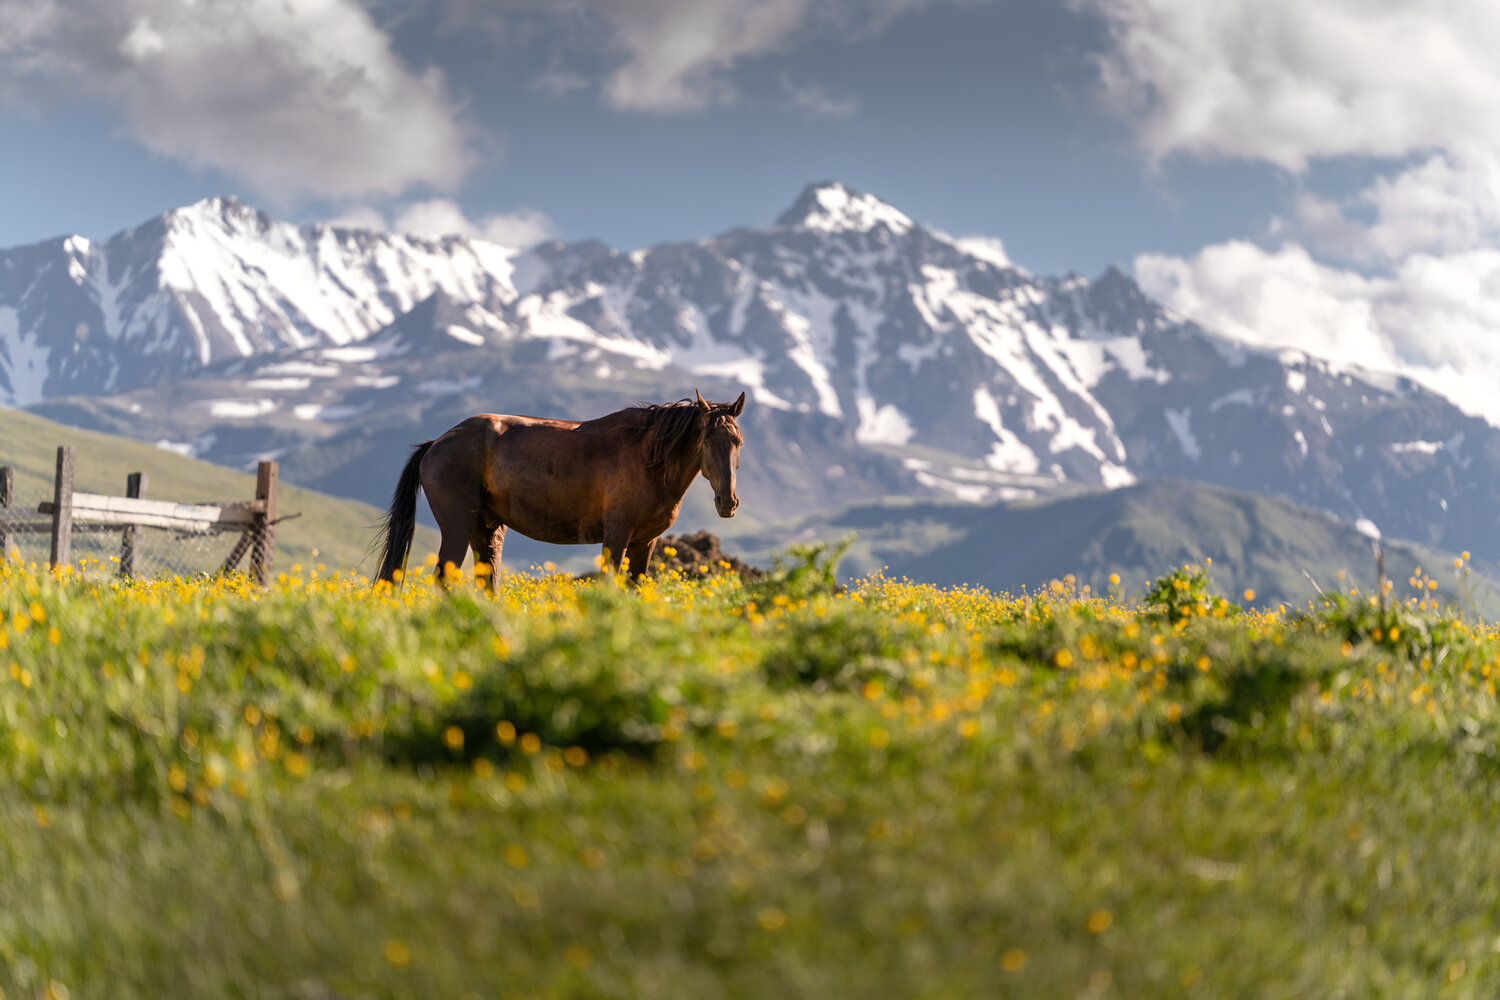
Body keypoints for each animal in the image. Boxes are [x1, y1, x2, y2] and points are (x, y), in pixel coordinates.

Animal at [375, 390, 746, 587]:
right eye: (706, 441)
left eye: (738, 442)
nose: (728, 503)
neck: (648, 457)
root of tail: (436, 443)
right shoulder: (617, 535)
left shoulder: (646, 541)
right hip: (458, 527)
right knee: (446, 579)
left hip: (487, 530)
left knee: (487, 581)